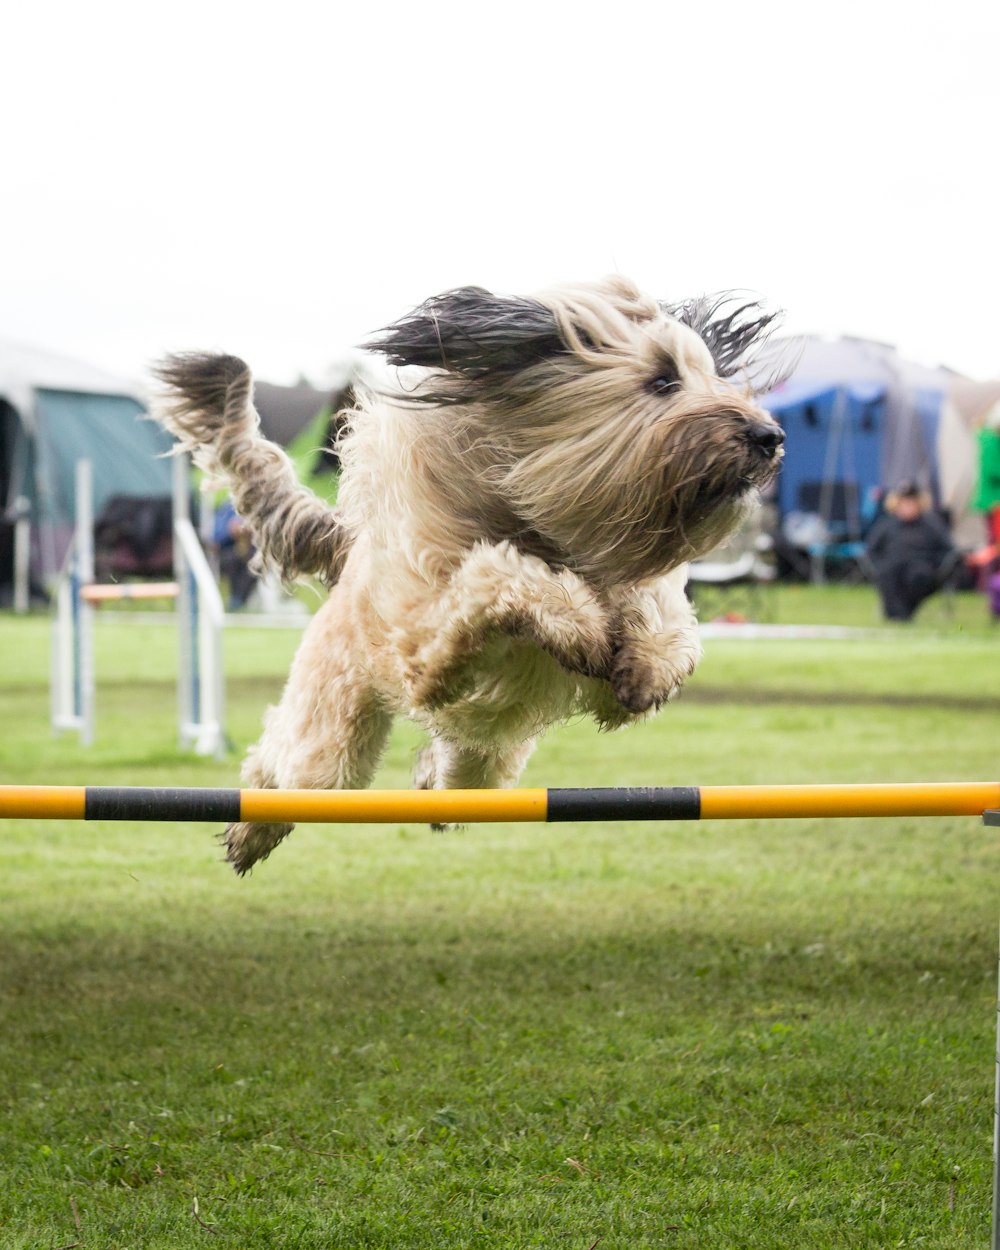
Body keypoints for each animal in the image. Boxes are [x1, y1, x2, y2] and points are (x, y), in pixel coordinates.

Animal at [154, 278, 780, 875]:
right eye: (663, 380)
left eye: (709, 375)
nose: (769, 437)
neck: (548, 529)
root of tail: (350, 550)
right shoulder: (425, 645)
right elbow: (497, 574)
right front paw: (578, 624)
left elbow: (660, 612)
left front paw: (648, 665)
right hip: (334, 732)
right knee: (287, 766)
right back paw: (249, 832)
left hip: (483, 761)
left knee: (452, 769)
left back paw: (427, 779)